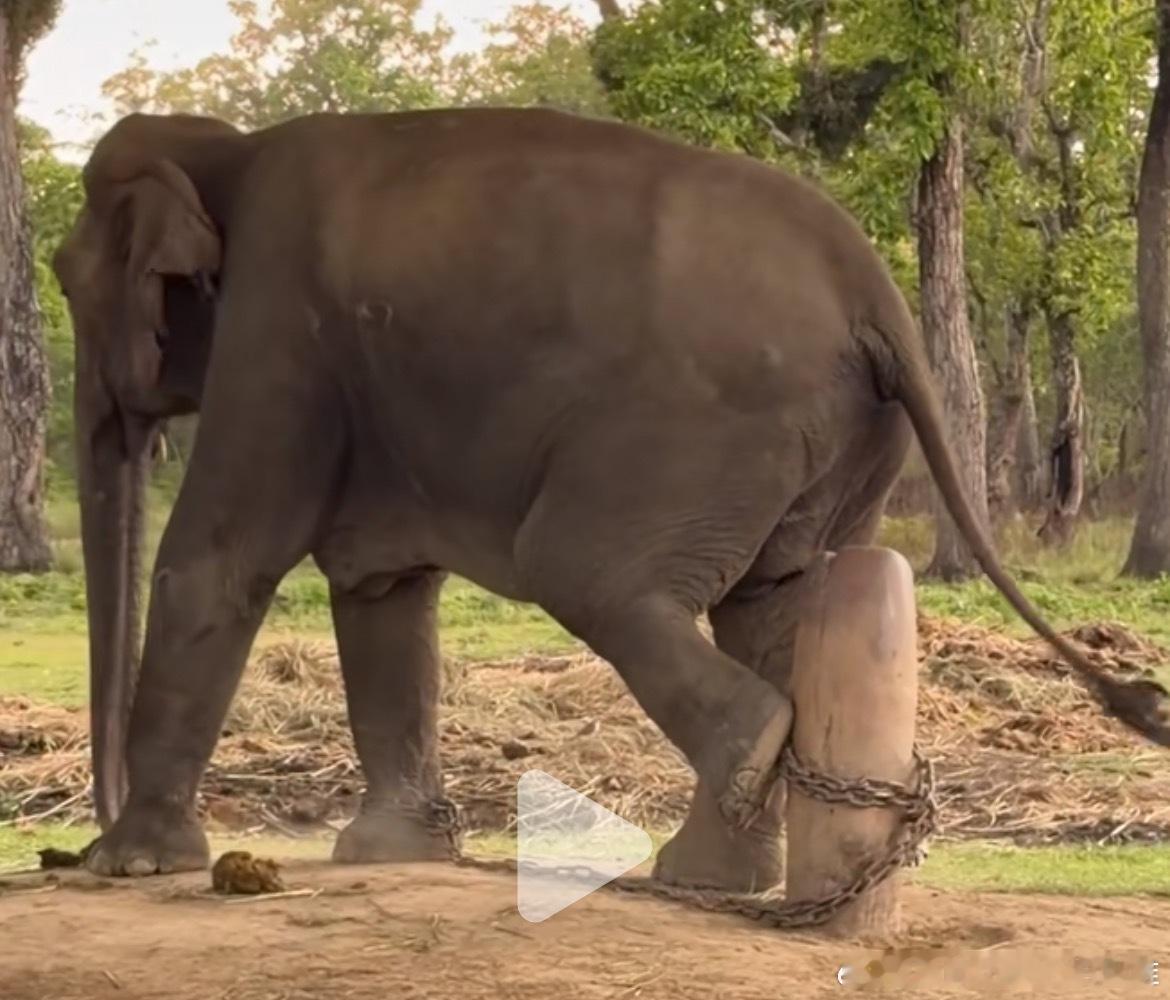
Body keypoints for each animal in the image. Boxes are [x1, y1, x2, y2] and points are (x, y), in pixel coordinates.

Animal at [52, 107, 1168, 887]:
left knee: (590, 574)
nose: (68, 844)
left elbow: (218, 560)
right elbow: (380, 590)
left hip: (698, 433)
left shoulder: (278, 329)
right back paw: (712, 876)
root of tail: (874, 287)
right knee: (770, 600)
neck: (227, 153)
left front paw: (134, 866)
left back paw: (728, 798)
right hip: (827, 444)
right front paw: (388, 855)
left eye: (62, 278)